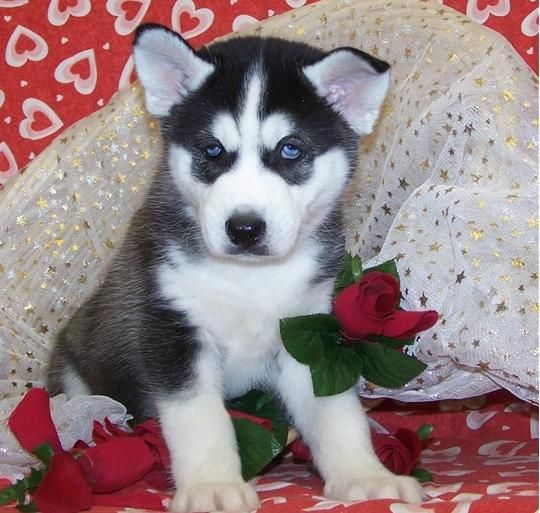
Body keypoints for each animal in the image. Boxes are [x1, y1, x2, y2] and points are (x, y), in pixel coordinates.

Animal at [48, 23, 424, 512]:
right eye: (212, 150)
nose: (244, 227)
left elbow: (336, 412)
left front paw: (365, 476)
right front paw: (210, 486)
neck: (250, 279)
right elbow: (200, 418)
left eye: (290, 150)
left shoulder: (308, 330)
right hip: (77, 368)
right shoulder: (173, 331)